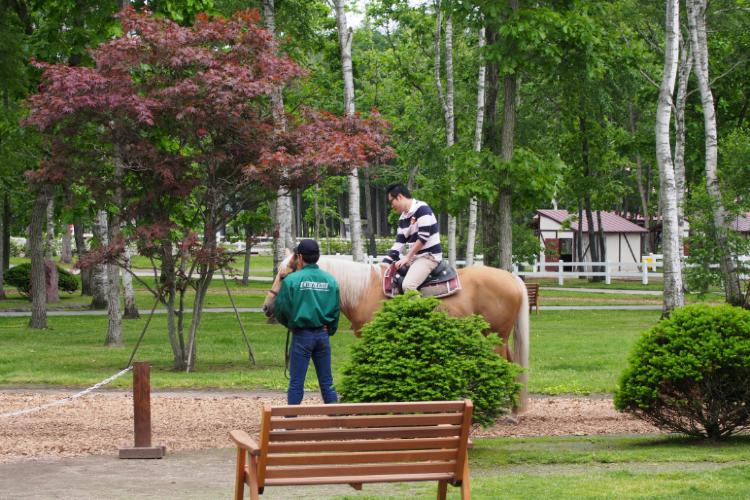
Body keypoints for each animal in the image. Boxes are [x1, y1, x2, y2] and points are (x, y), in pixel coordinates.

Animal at [262, 254, 532, 414]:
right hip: (497, 338)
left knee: (506, 367)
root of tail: (510, 276)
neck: (364, 290)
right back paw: (513, 408)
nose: (266, 307)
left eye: (283, 276)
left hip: (496, 337)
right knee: (513, 366)